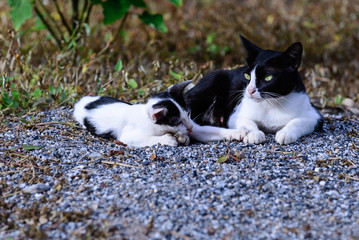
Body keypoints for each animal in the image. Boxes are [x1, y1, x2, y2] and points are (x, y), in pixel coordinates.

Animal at [186, 35, 324, 144]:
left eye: (268, 77)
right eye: (247, 76)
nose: (250, 90)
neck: (272, 103)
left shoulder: (315, 116)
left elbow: (298, 121)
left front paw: (285, 133)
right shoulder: (235, 114)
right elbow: (247, 121)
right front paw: (253, 133)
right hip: (211, 84)